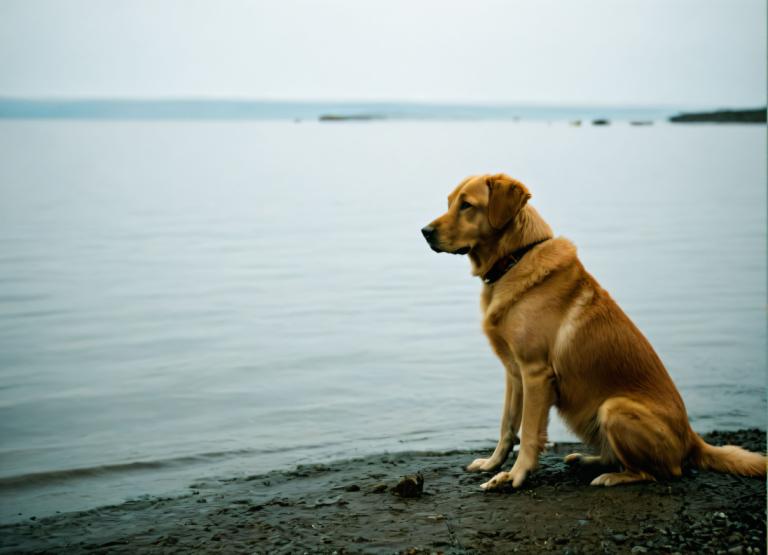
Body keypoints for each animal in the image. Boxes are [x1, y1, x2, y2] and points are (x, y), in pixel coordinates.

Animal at [424, 175, 764, 490]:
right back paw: (587, 460)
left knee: (660, 471)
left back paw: (611, 476)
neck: (515, 258)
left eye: (467, 205)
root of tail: (692, 438)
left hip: (613, 408)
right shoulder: (513, 373)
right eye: (450, 202)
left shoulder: (535, 374)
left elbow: (530, 433)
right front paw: (492, 464)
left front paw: (515, 475)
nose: (424, 232)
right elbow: (507, 426)